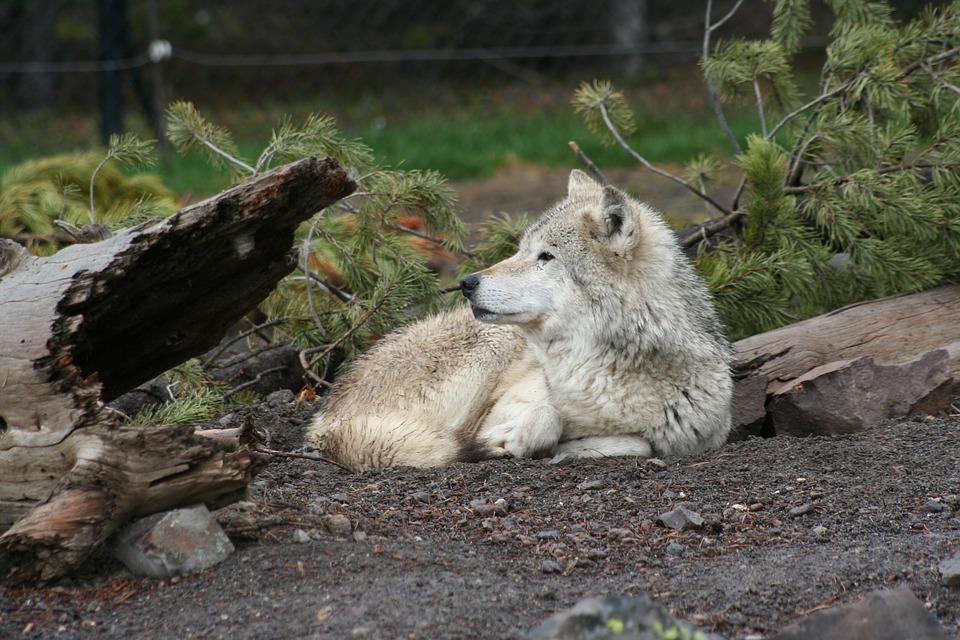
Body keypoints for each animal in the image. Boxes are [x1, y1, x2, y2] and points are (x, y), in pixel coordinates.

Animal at [310, 170, 736, 470]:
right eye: (519, 250)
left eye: (545, 256)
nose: (467, 282)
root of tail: (323, 419)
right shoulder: (510, 403)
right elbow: (545, 416)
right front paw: (516, 441)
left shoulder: (697, 436)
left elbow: (640, 443)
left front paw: (570, 448)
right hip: (487, 352)